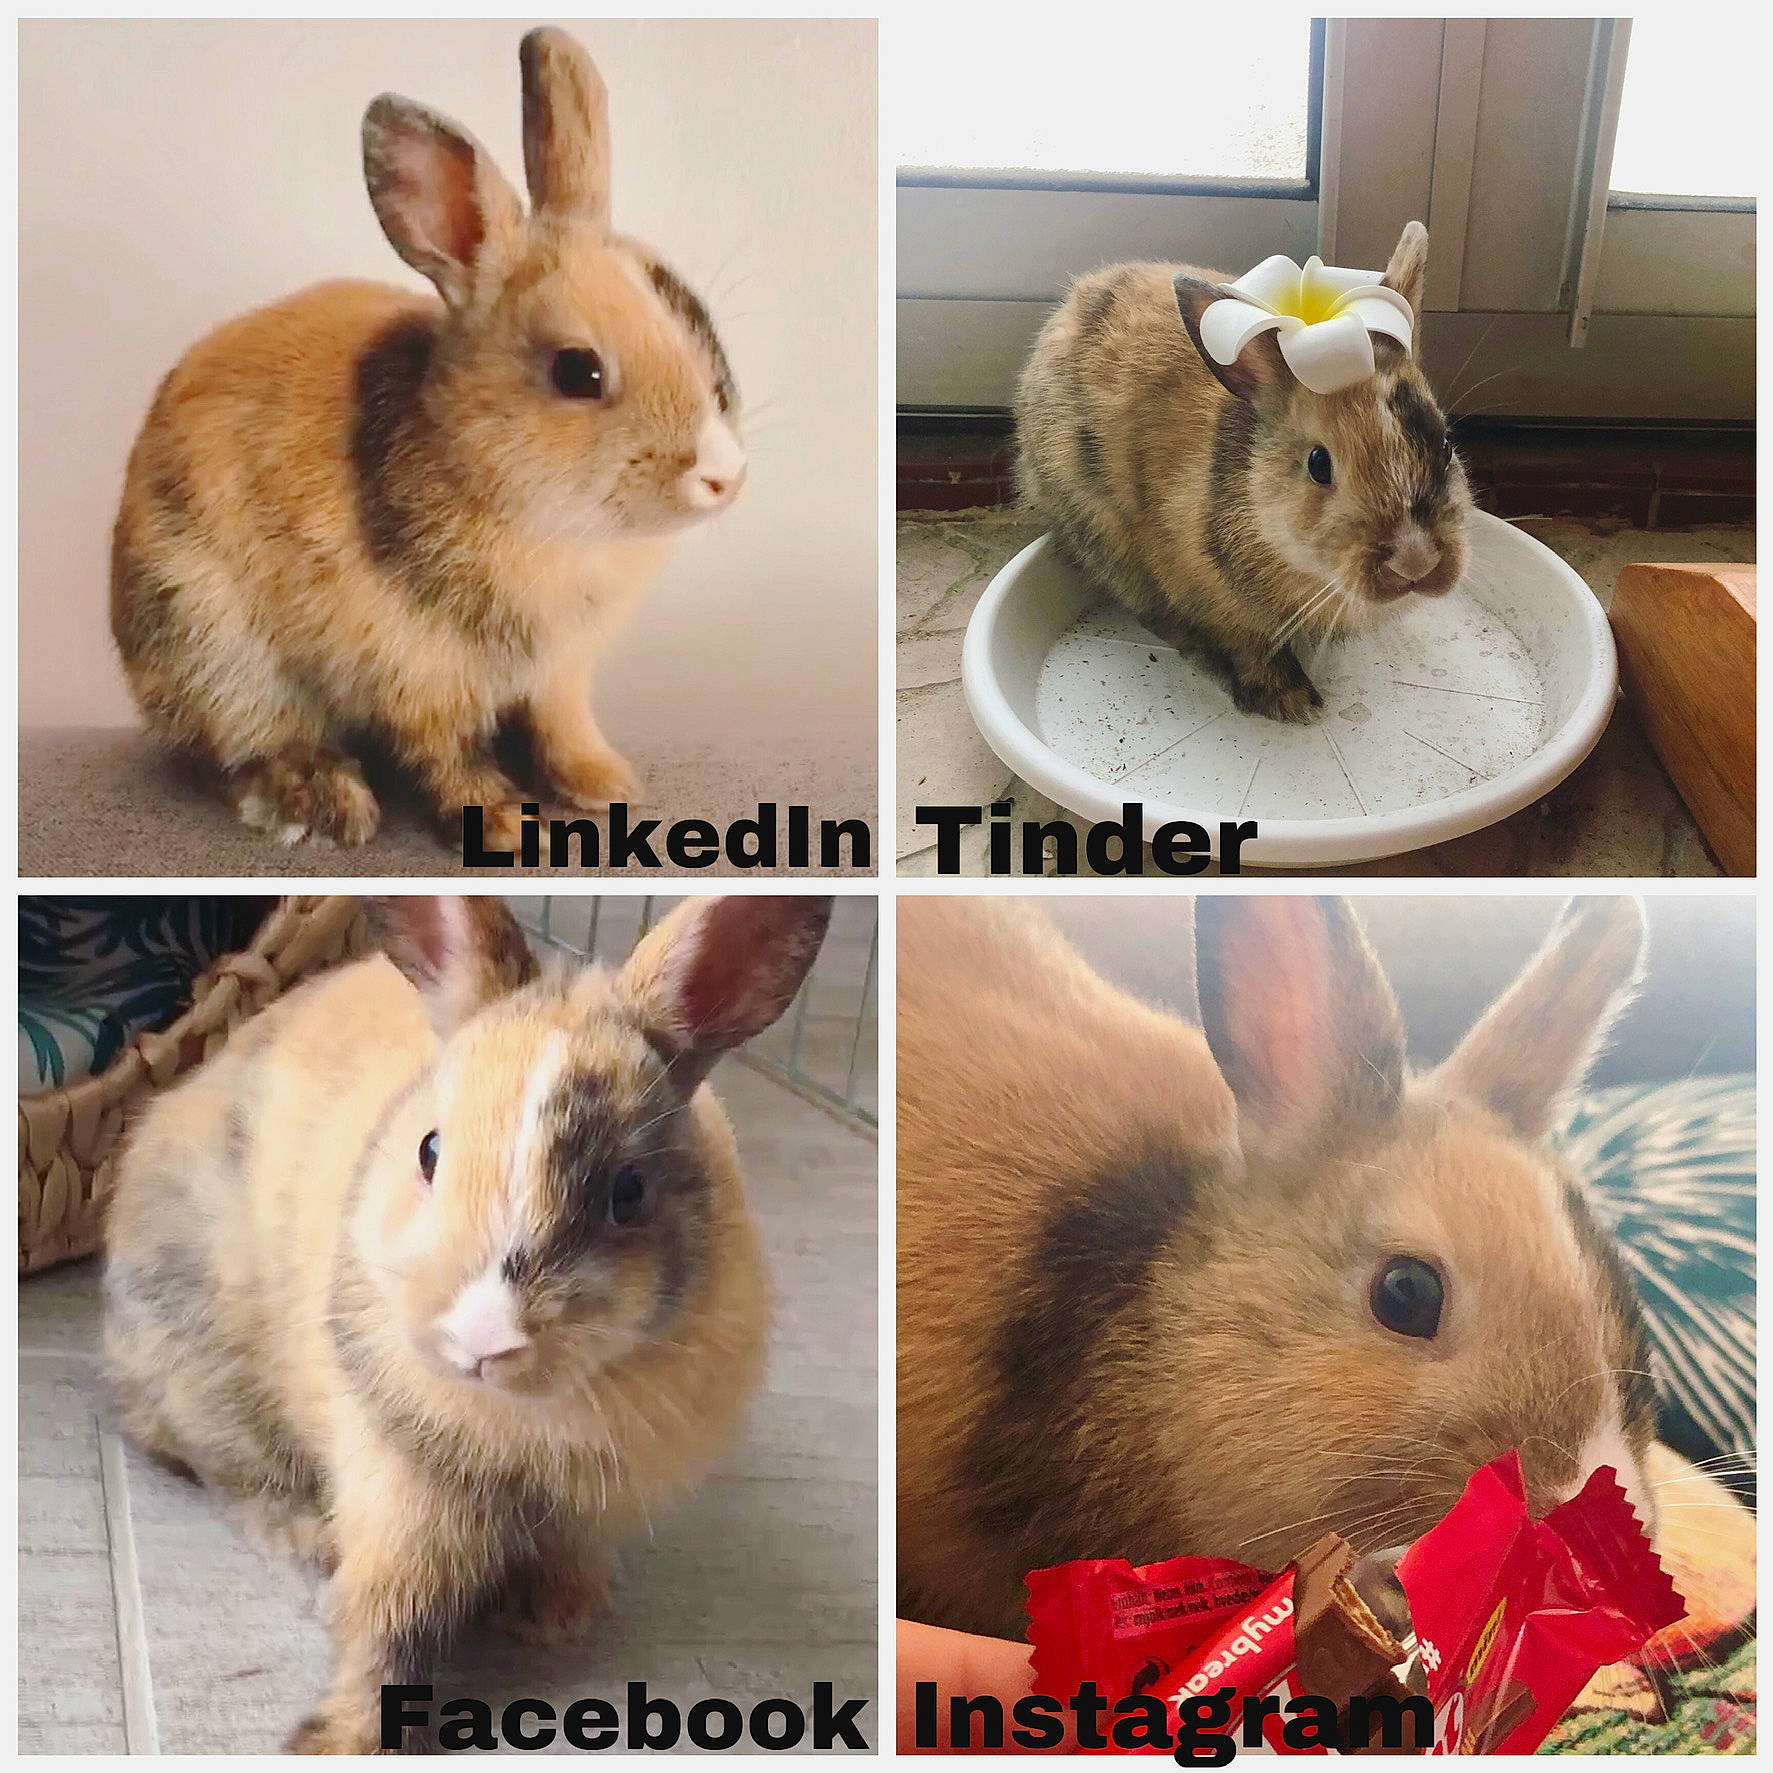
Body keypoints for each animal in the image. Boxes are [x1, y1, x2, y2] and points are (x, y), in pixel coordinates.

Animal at [103, 892, 830, 1752]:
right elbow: (388, 1622)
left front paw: (553, 1618)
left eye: (628, 1191)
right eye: (429, 1149)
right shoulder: (400, 1494)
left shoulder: (586, 1509)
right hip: (202, 1353)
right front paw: (339, 1737)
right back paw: (306, 1540)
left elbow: (561, 1553)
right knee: (224, 1467)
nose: (485, 1339)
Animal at [110, 28, 745, 849]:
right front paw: (510, 825)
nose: (724, 473)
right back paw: (322, 802)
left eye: (699, 322)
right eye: (578, 371)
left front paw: (605, 786)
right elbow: (450, 754)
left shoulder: (559, 671)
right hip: (212, 646)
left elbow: (562, 726)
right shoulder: (419, 670)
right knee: (244, 745)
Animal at [1015, 222, 1472, 723]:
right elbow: (1247, 645)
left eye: (1445, 444)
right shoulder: (1205, 593)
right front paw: (1292, 703)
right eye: (1319, 464)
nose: (1415, 562)